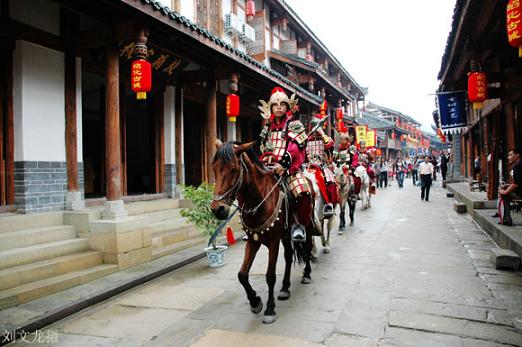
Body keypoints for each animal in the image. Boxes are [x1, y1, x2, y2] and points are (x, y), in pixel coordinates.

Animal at [208, 140, 312, 324]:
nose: (217, 209)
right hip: (286, 235)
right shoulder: (253, 240)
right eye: (214, 168)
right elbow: (242, 274)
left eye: (233, 169)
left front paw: (270, 309)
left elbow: (270, 276)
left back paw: (306, 274)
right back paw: (285, 288)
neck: (259, 199)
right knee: (288, 256)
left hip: (305, 223)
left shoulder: (274, 241)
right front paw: (255, 302)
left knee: (306, 247)